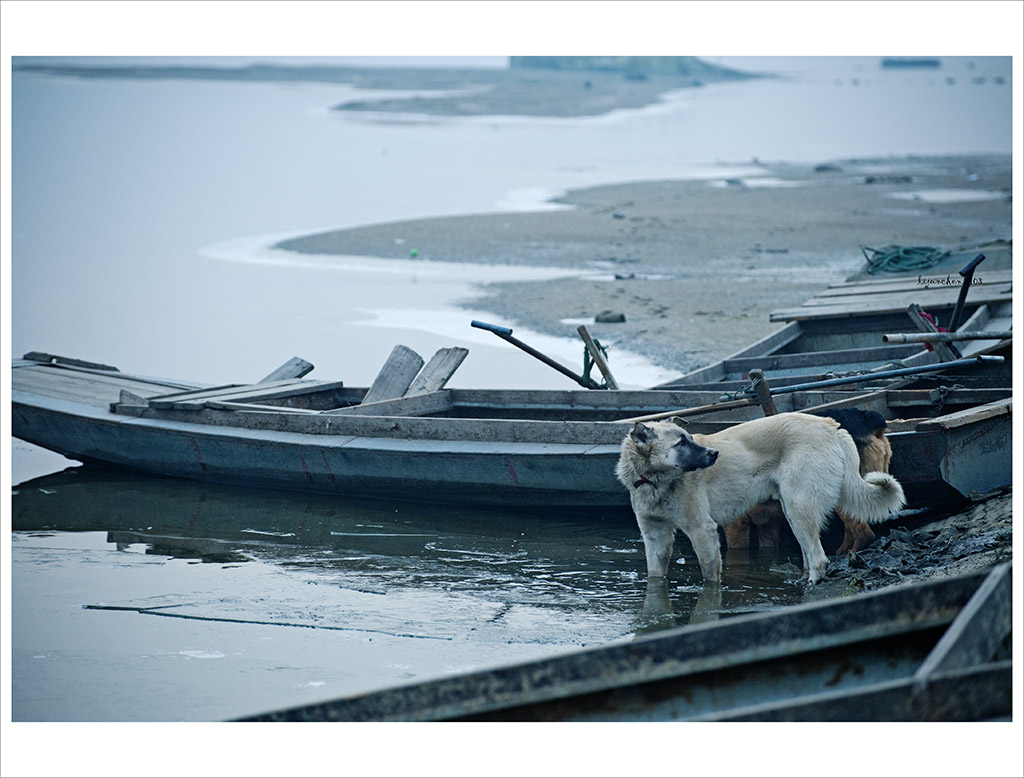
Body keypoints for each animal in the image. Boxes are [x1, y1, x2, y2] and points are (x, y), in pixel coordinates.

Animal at [614, 413, 905, 581]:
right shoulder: (655, 537)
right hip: (792, 511)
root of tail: (832, 426)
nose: (714, 454)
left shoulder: (703, 532)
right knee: (810, 557)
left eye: (688, 439)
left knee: (819, 559)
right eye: (681, 443)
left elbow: (710, 578)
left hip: (799, 509)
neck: (654, 481)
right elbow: (655, 576)